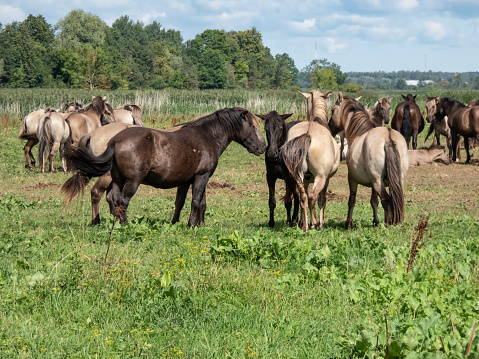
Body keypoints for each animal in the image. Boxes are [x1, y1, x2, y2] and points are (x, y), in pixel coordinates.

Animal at [60, 107, 268, 226]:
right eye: (252, 125)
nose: (262, 147)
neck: (206, 136)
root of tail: (115, 139)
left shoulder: (190, 179)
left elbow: (190, 202)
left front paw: (191, 224)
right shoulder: (202, 176)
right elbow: (195, 201)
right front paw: (191, 225)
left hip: (117, 179)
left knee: (113, 199)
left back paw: (115, 223)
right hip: (131, 181)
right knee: (119, 200)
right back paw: (122, 225)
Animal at [280, 88, 340, 232]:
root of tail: (307, 135)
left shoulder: (306, 180)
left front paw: (302, 221)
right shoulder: (326, 179)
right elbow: (322, 200)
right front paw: (321, 223)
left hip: (297, 177)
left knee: (302, 197)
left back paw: (305, 226)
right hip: (320, 177)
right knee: (313, 197)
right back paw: (314, 223)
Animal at [330, 92, 408, 228]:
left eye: (333, 110)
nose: (329, 128)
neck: (359, 133)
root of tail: (388, 138)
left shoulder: (352, 178)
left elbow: (352, 200)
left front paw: (348, 223)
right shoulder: (373, 184)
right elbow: (374, 201)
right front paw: (375, 222)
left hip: (377, 181)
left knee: (386, 200)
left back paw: (388, 224)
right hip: (395, 180)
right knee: (394, 199)